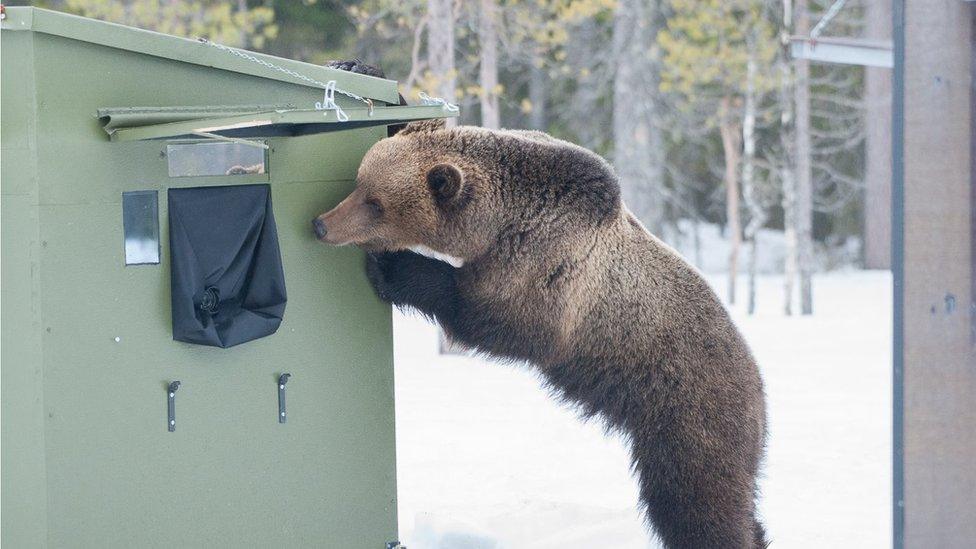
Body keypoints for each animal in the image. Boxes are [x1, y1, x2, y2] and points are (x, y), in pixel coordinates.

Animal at [312, 121, 772, 548]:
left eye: (376, 203)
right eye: (359, 182)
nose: (321, 225)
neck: (503, 220)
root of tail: (759, 386)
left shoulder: (547, 274)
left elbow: (492, 319)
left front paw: (393, 267)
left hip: (686, 416)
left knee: (694, 501)